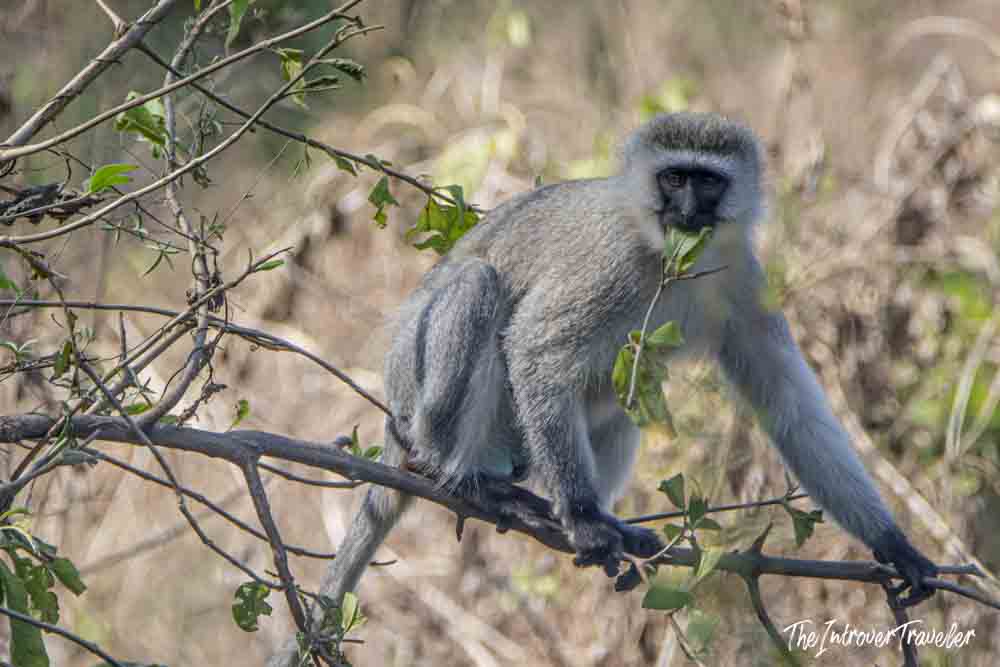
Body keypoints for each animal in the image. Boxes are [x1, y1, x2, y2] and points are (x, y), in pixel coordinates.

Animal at [322, 111, 938, 615]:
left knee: (624, 389)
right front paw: (583, 518)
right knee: (479, 284)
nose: (686, 210)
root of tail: (397, 425)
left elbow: (791, 409)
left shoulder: (744, 281)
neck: (669, 254)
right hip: (416, 389)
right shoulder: (609, 268)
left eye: (707, 181)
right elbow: (537, 347)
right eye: (673, 178)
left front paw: (892, 543)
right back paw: (471, 482)